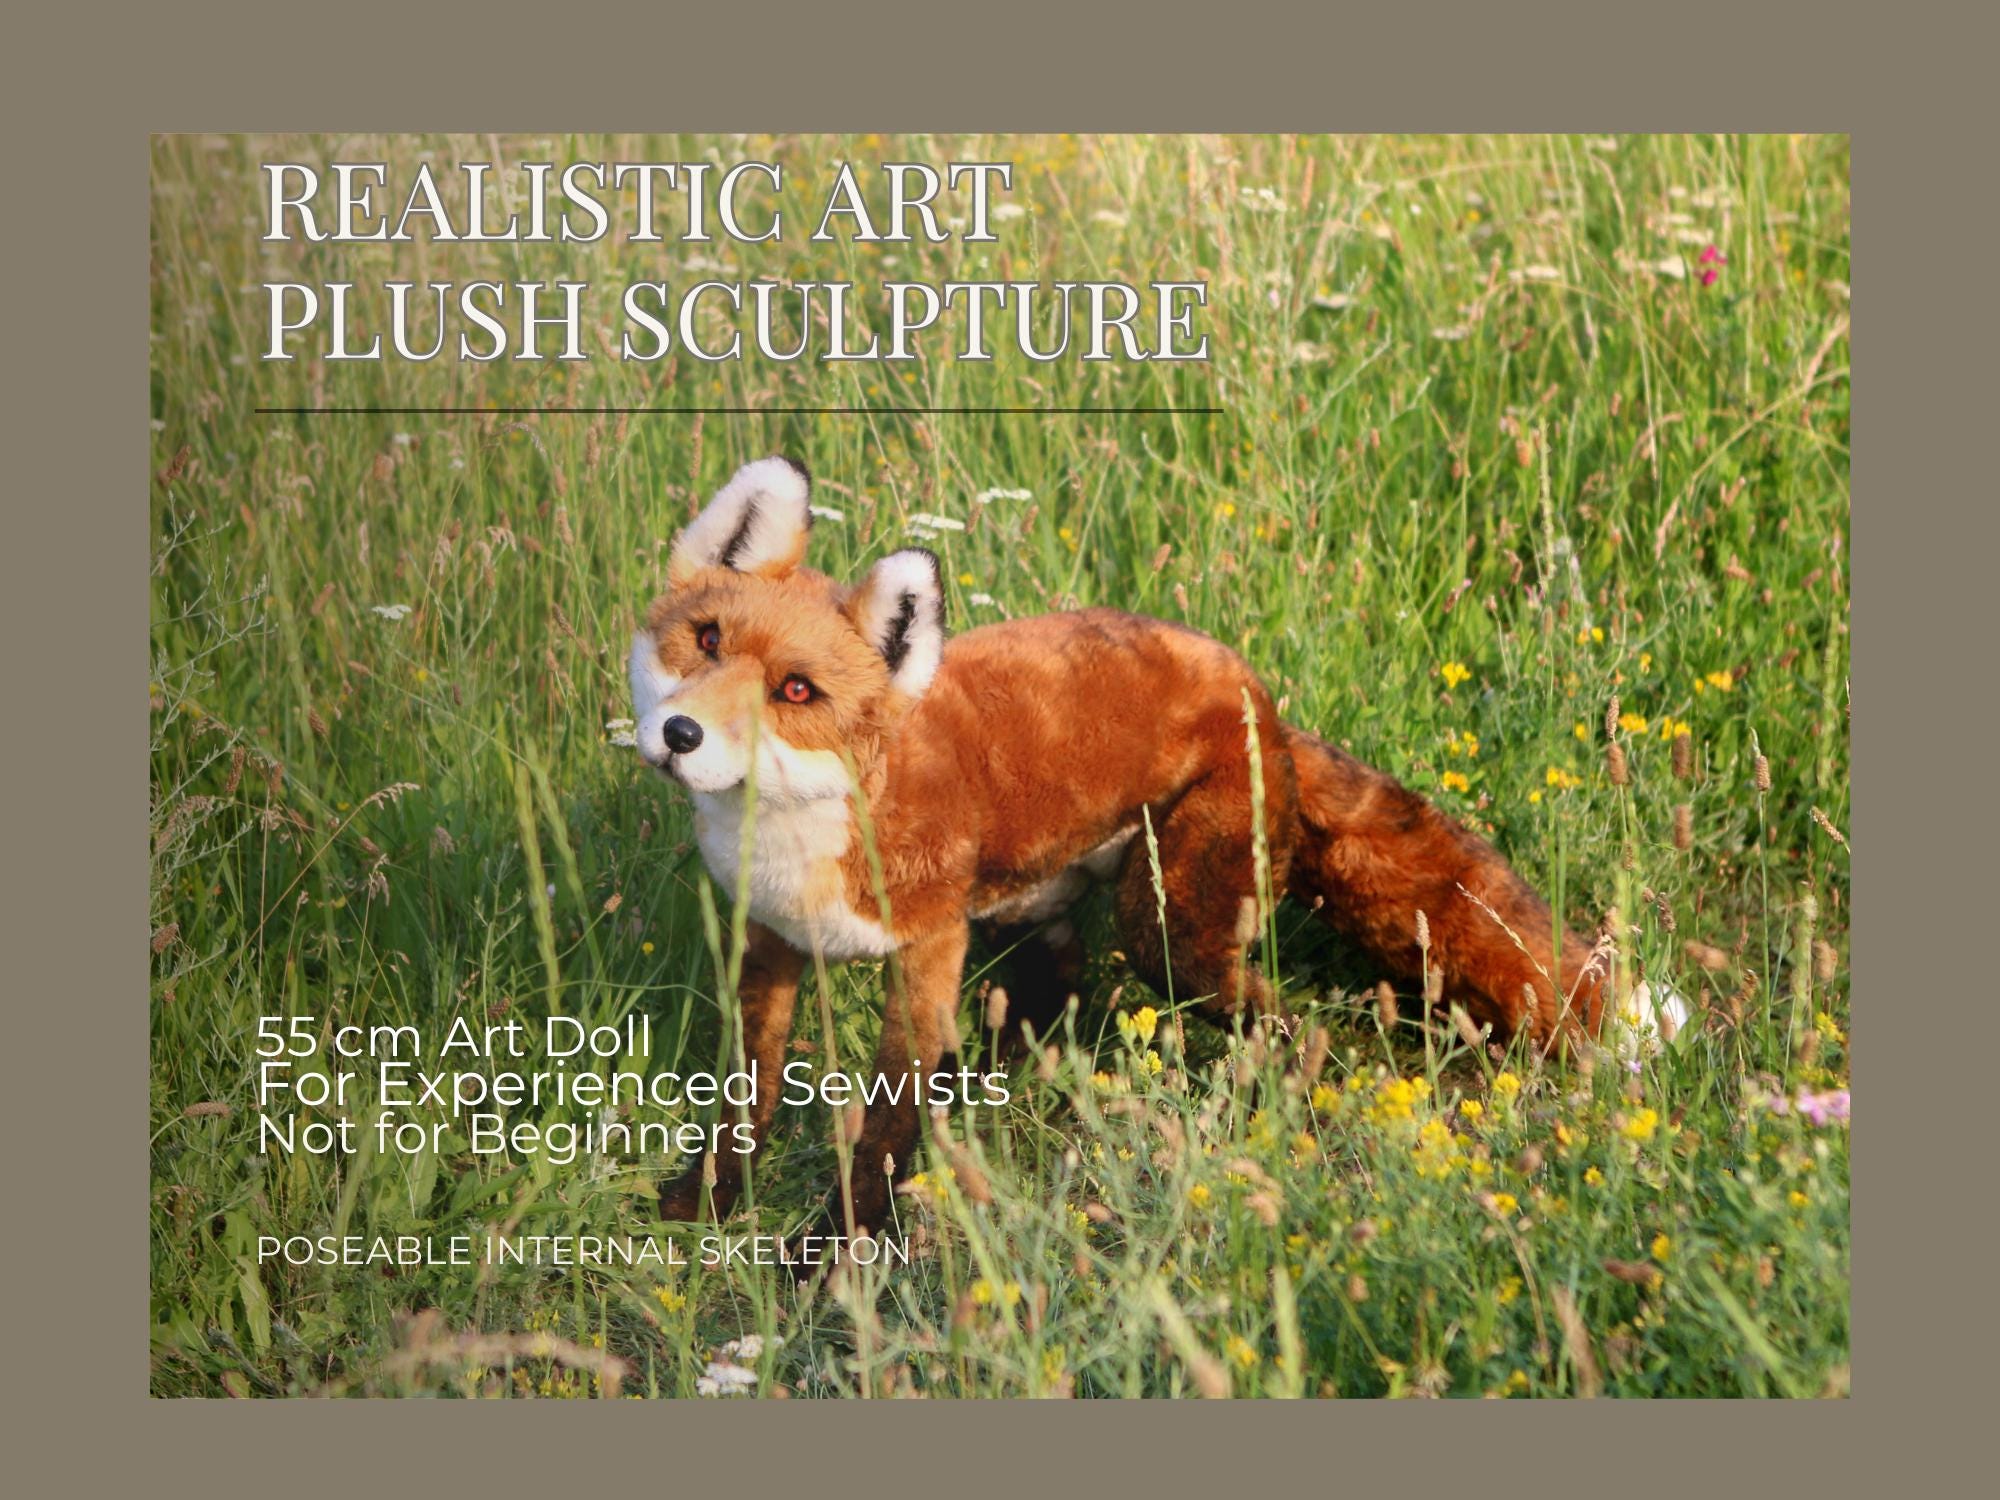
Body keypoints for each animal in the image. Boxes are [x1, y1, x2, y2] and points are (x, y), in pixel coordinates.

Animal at [630, 455, 1630, 1238]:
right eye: (706, 639)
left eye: (796, 691)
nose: (680, 735)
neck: (803, 838)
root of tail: (1260, 695)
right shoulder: (768, 940)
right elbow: (748, 1095)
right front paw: (708, 1202)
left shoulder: (926, 948)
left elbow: (883, 1128)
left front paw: (838, 1252)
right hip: (1036, 918)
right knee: (1052, 1014)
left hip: (1168, 934)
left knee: (1284, 1022)